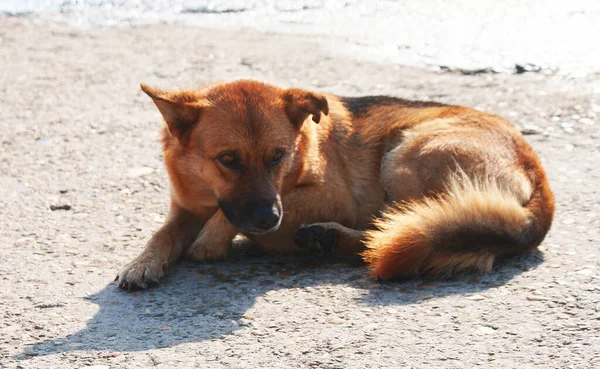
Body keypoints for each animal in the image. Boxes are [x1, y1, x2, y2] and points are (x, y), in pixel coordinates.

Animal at [115, 79, 556, 288]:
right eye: (228, 160)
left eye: (277, 156)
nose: (268, 219)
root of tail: (539, 177)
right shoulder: (185, 211)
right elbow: (162, 233)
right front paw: (142, 263)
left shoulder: (323, 198)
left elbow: (223, 224)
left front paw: (211, 239)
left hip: (404, 154)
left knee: (402, 227)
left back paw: (329, 237)